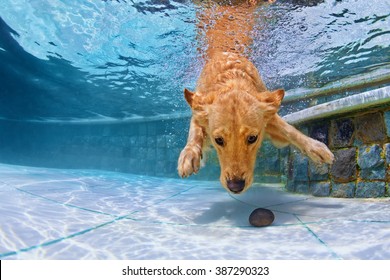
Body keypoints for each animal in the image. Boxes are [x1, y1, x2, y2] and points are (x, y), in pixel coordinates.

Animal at [177, 0, 332, 194]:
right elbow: (195, 132)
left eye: (252, 138)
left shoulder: (269, 115)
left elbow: (289, 130)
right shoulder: (198, 107)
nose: (235, 187)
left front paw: (316, 148)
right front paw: (189, 155)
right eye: (218, 140)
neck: (233, 80)